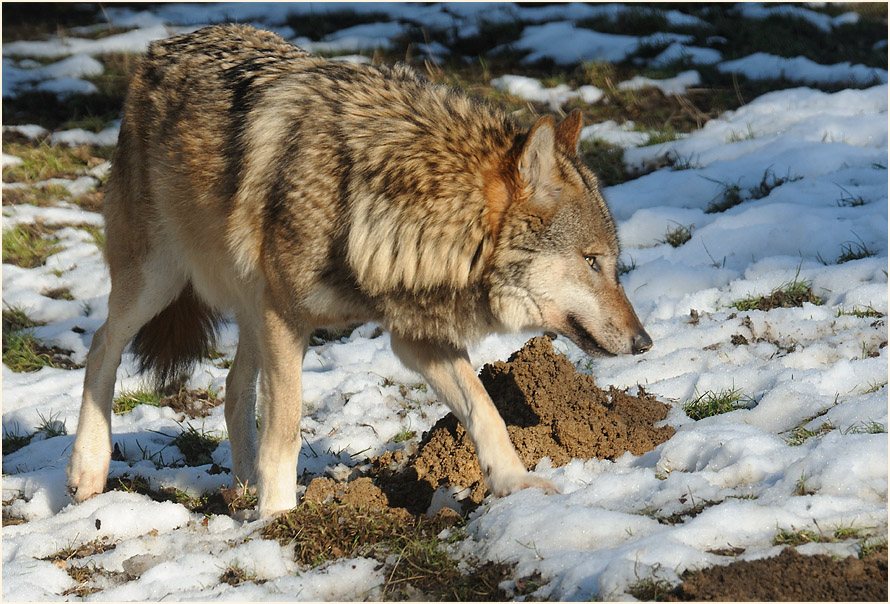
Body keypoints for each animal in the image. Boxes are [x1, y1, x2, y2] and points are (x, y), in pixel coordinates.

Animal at [67, 24, 651, 518]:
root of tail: (159, 47)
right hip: (158, 281)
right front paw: (279, 518)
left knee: (233, 387)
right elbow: (285, 428)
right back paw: (88, 472)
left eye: (612, 263)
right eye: (592, 261)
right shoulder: (288, 320)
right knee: (101, 346)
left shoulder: (416, 335)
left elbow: (485, 409)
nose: (644, 342)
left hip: (246, 305)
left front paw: (516, 485)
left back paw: (245, 487)